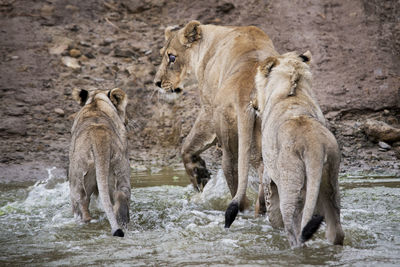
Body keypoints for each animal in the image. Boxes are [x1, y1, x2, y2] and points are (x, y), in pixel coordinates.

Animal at [69, 87, 130, 238]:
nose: (126, 120)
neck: (96, 101)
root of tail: (99, 136)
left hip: (76, 180)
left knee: (81, 205)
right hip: (120, 170)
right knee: (121, 197)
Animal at [153, 21, 278, 226]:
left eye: (171, 57)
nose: (157, 82)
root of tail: (247, 92)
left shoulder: (208, 108)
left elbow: (188, 146)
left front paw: (200, 177)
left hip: (227, 139)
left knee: (235, 177)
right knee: (264, 171)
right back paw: (263, 210)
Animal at [256, 51, 344, 248]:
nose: (253, 104)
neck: (293, 90)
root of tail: (314, 144)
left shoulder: (269, 173)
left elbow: (271, 205)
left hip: (290, 185)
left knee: (294, 230)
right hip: (331, 181)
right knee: (336, 229)